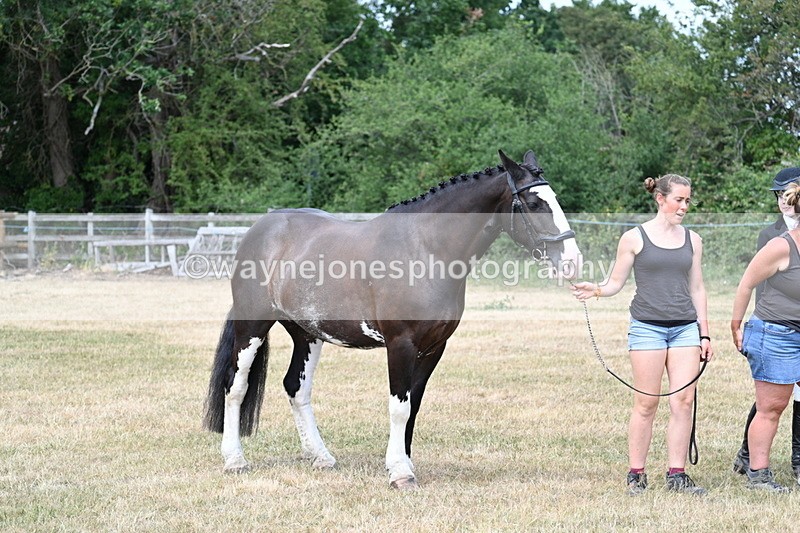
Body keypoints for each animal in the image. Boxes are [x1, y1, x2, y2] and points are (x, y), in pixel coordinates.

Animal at [203, 149, 581, 489]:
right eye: (534, 203)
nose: (573, 261)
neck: (425, 250)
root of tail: (259, 231)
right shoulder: (401, 344)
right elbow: (399, 407)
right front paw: (400, 473)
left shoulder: (433, 348)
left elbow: (414, 406)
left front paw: (404, 463)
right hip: (253, 327)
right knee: (235, 386)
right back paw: (235, 460)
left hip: (307, 334)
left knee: (296, 387)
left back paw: (320, 457)